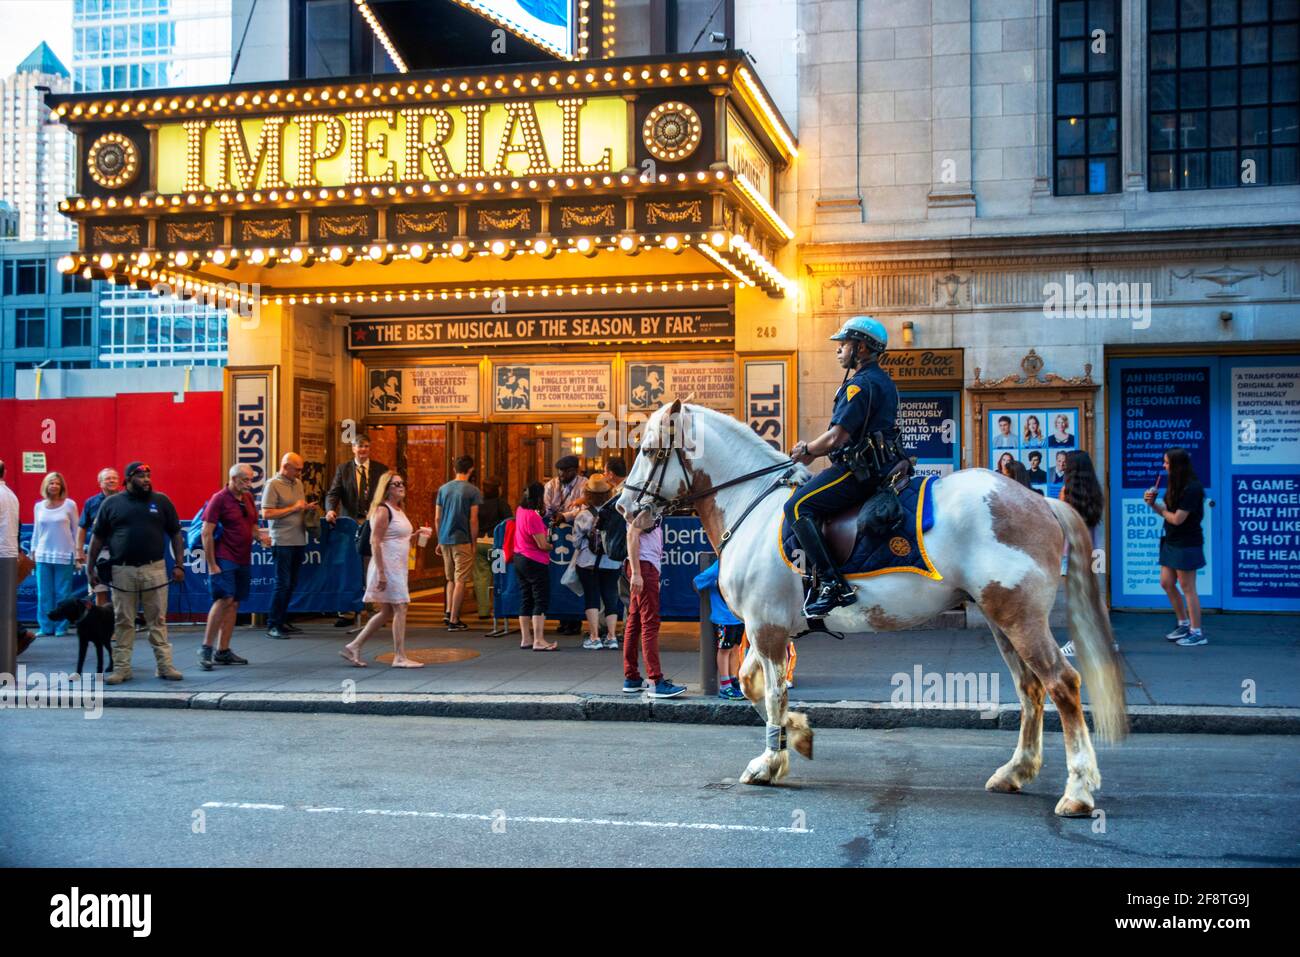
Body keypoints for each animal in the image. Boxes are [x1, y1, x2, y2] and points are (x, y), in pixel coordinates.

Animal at [613, 403, 1123, 816]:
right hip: (1002, 619)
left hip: (1020, 617)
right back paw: (1016, 772)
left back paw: (1078, 792)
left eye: (652, 450)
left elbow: (772, 693)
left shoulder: (767, 628)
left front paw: (771, 762)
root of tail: (1041, 500)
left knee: (1062, 684)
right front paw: (797, 735)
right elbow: (749, 682)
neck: (752, 507)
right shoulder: (767, 626)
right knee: (1030, 689)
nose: (623, 506)